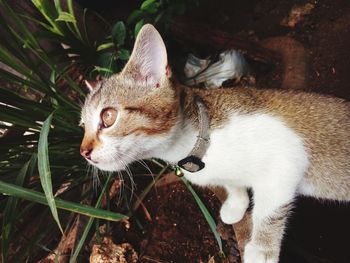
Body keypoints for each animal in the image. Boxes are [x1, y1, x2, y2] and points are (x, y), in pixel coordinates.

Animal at [80, 24, 350, 263]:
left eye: (108, 116)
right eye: (82, 125)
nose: (84, 152)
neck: (193, 146)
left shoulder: (286, 159)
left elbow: (270, 209)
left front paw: (261, 249)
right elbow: (233, 184)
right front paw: (236, 204)